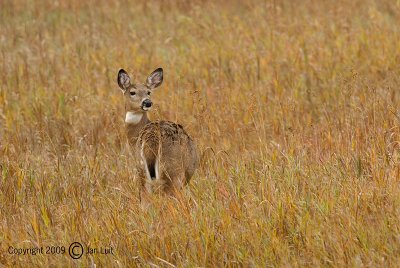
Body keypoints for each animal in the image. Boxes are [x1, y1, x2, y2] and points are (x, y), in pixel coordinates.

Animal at [117, 68, 198, 200]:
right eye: (132, 92)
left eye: (148, 92)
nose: (147, 102)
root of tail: (152, 139)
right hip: (172, 172)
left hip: (143, 171)